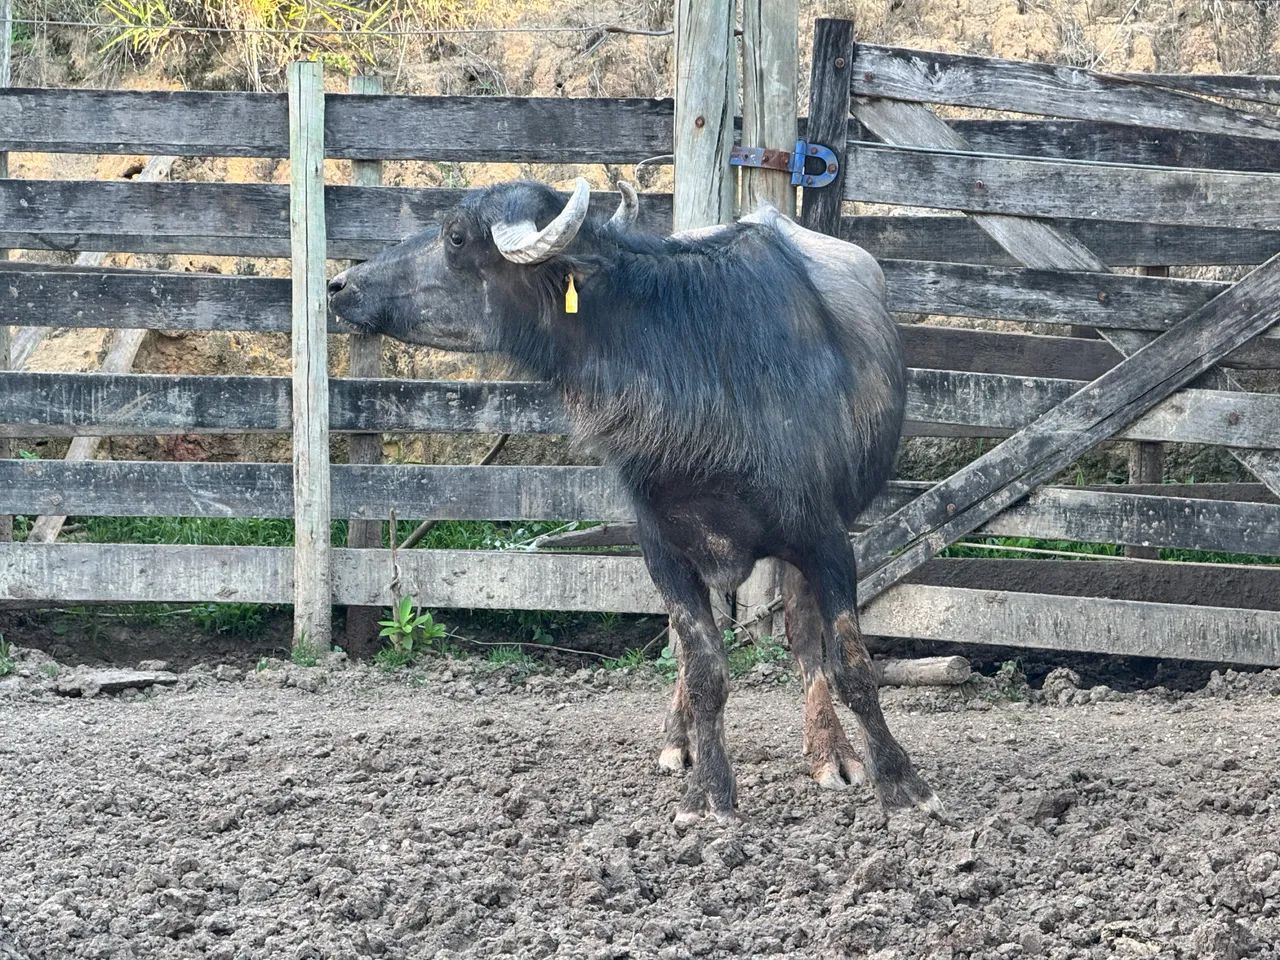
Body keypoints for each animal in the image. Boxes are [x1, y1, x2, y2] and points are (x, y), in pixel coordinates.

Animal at [328, 178, 940, 823]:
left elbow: (851, 663)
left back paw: (830, 752)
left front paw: (901, 782)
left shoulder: (827, 541)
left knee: (803, 636)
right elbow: (704, 668)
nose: (340, 286)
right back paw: (681, 742)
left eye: (455, 236)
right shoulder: (662, 549)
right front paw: (709, 793)